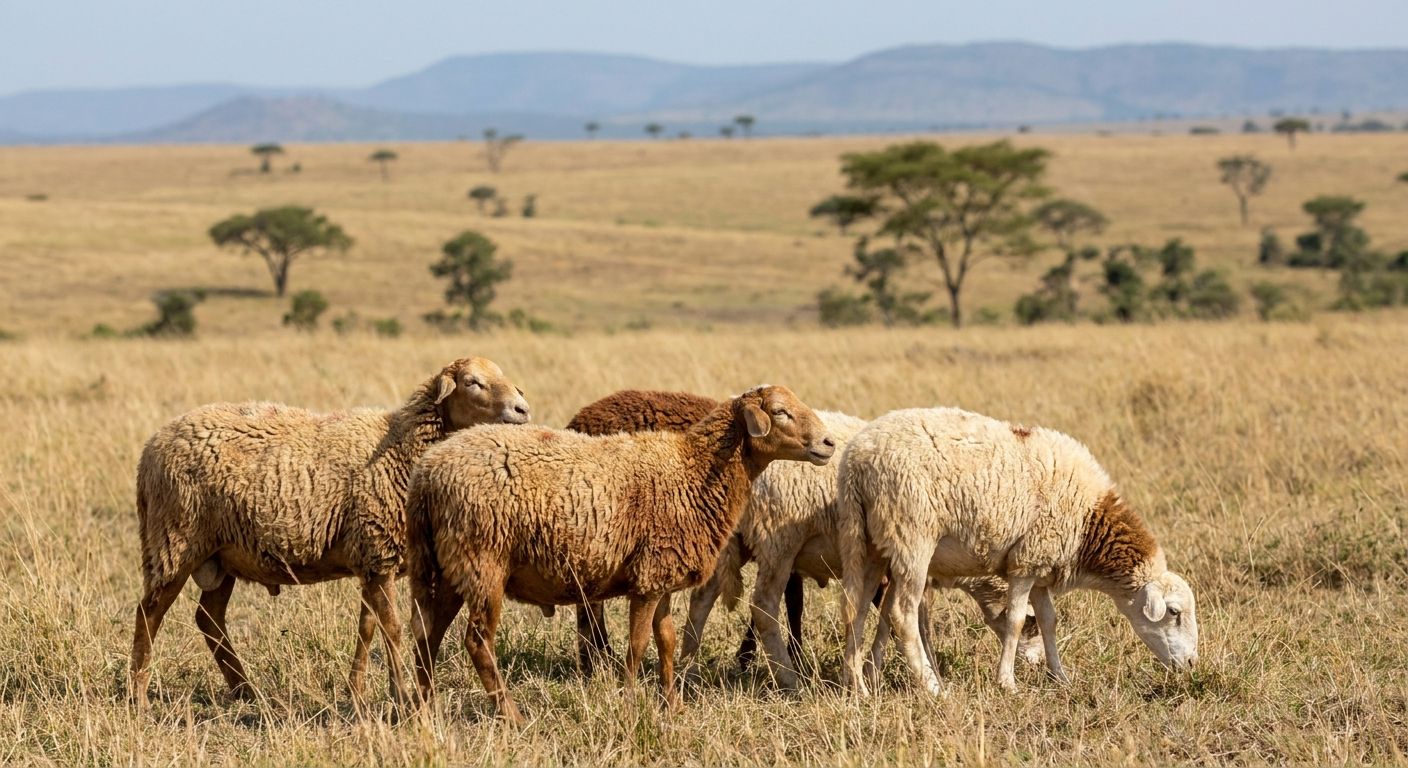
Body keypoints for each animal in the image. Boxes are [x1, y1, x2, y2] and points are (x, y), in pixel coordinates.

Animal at [129, 356, 530, 708]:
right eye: (472, 382)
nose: (522, 410)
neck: (401, 447)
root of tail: (149, 449)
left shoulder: (371, 557)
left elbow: (367, 629)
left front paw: (358, 692)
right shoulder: (378, 551)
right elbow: (392, 629)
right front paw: (399, 696)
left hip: (221, 553)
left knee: (208, 618)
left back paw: (246, 691)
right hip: (174, 540)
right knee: (149, 613)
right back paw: (139, 695)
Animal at [407, 385, 834, 724]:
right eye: (779, 411)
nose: (829, 444)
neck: (693, 470)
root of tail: (427, 473)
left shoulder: (661, 575)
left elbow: (666, 640)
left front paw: (671, 705)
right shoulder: (647, 582)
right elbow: (638, 643)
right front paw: (630, 703)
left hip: (450, 566)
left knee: (428, 635)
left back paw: (425, 708)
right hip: (483, 562)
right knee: (478, 641)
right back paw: (511, 715)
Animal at [566, 390, 1041, 689]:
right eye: (1034, 623)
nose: (1036, 664)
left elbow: (889, 616)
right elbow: (906, 617)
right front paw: (920, 673)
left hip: (735, 542)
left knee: (702, 602)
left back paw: (687, 670)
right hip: (772, 540)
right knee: (759, 605)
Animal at [838, 407, 1199, 696]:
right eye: (1174, 612)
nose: (1192, 663)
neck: (1088, 522)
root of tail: (857, 460)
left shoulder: (1040, 566)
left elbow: (1049, 621)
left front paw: (1061, 678)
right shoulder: (1025, 563)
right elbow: (1014, 622)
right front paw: (1007, 682)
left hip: (869, 544)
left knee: (857, 609)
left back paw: (857, 687)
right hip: (912, 538)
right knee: (902, 614)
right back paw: (932, 687)